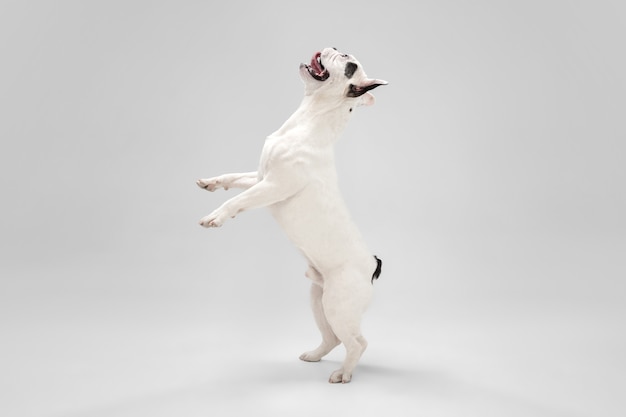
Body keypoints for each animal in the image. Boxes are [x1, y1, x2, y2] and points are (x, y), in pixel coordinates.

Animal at [195, 47, 386, 382]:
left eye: (348, 64)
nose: (334, 46)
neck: (308, 120)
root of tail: (372, 265)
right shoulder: (260, 177)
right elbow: (234, 179)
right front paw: (212, 183)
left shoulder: (274, 185)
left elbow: (238, 200)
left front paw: (215, 216)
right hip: (318, 299)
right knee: (333, 337)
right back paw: (314, 355)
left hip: (338, 305)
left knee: (357, 342)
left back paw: (343, 374)